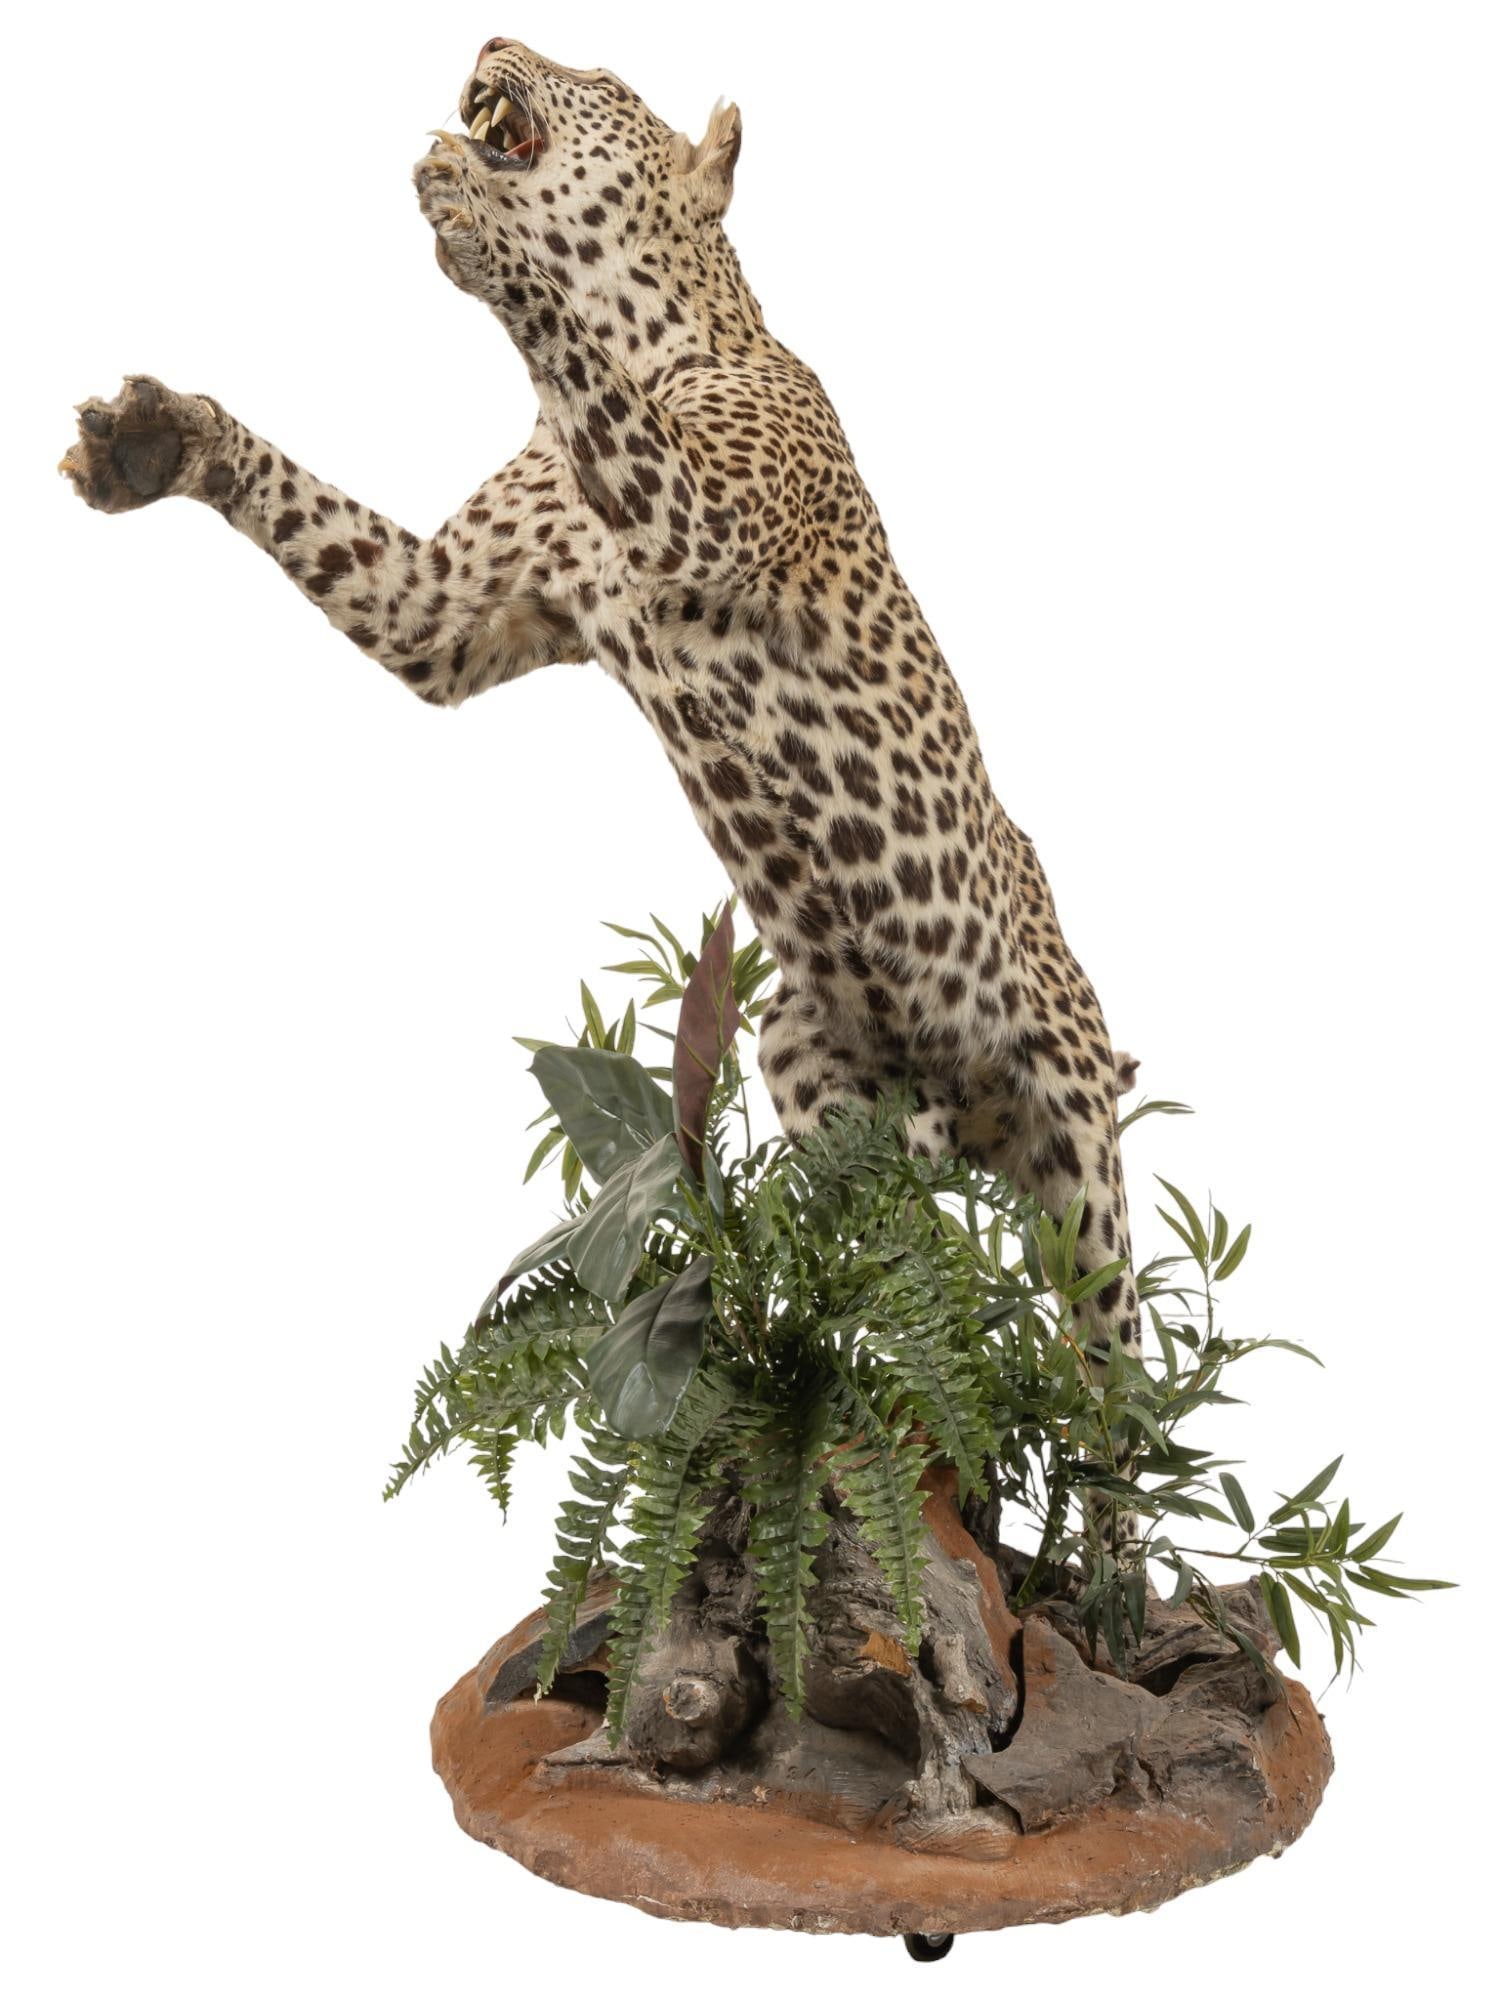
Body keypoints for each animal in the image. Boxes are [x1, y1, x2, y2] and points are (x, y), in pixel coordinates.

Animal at [60, 36, 1144, 1501]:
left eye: (602, 73)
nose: (489, 47)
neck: (654, 338)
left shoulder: (698, 516)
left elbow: (553, 318)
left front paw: (474, 214)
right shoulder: (441, 612)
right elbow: (313, 509)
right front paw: (157, 441)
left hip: (1081, 1155)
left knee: (1123, 1407)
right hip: (817, 1068)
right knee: (900, 1266)